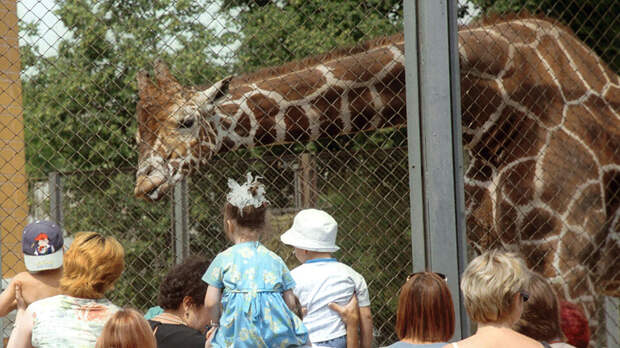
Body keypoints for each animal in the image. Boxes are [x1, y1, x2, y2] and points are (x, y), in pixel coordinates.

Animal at [136, 16, 620, 342]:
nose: (145, 184)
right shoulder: (490, 247)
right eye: (138, 133)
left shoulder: (569, 259)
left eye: (185, 121)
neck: (494, 114)